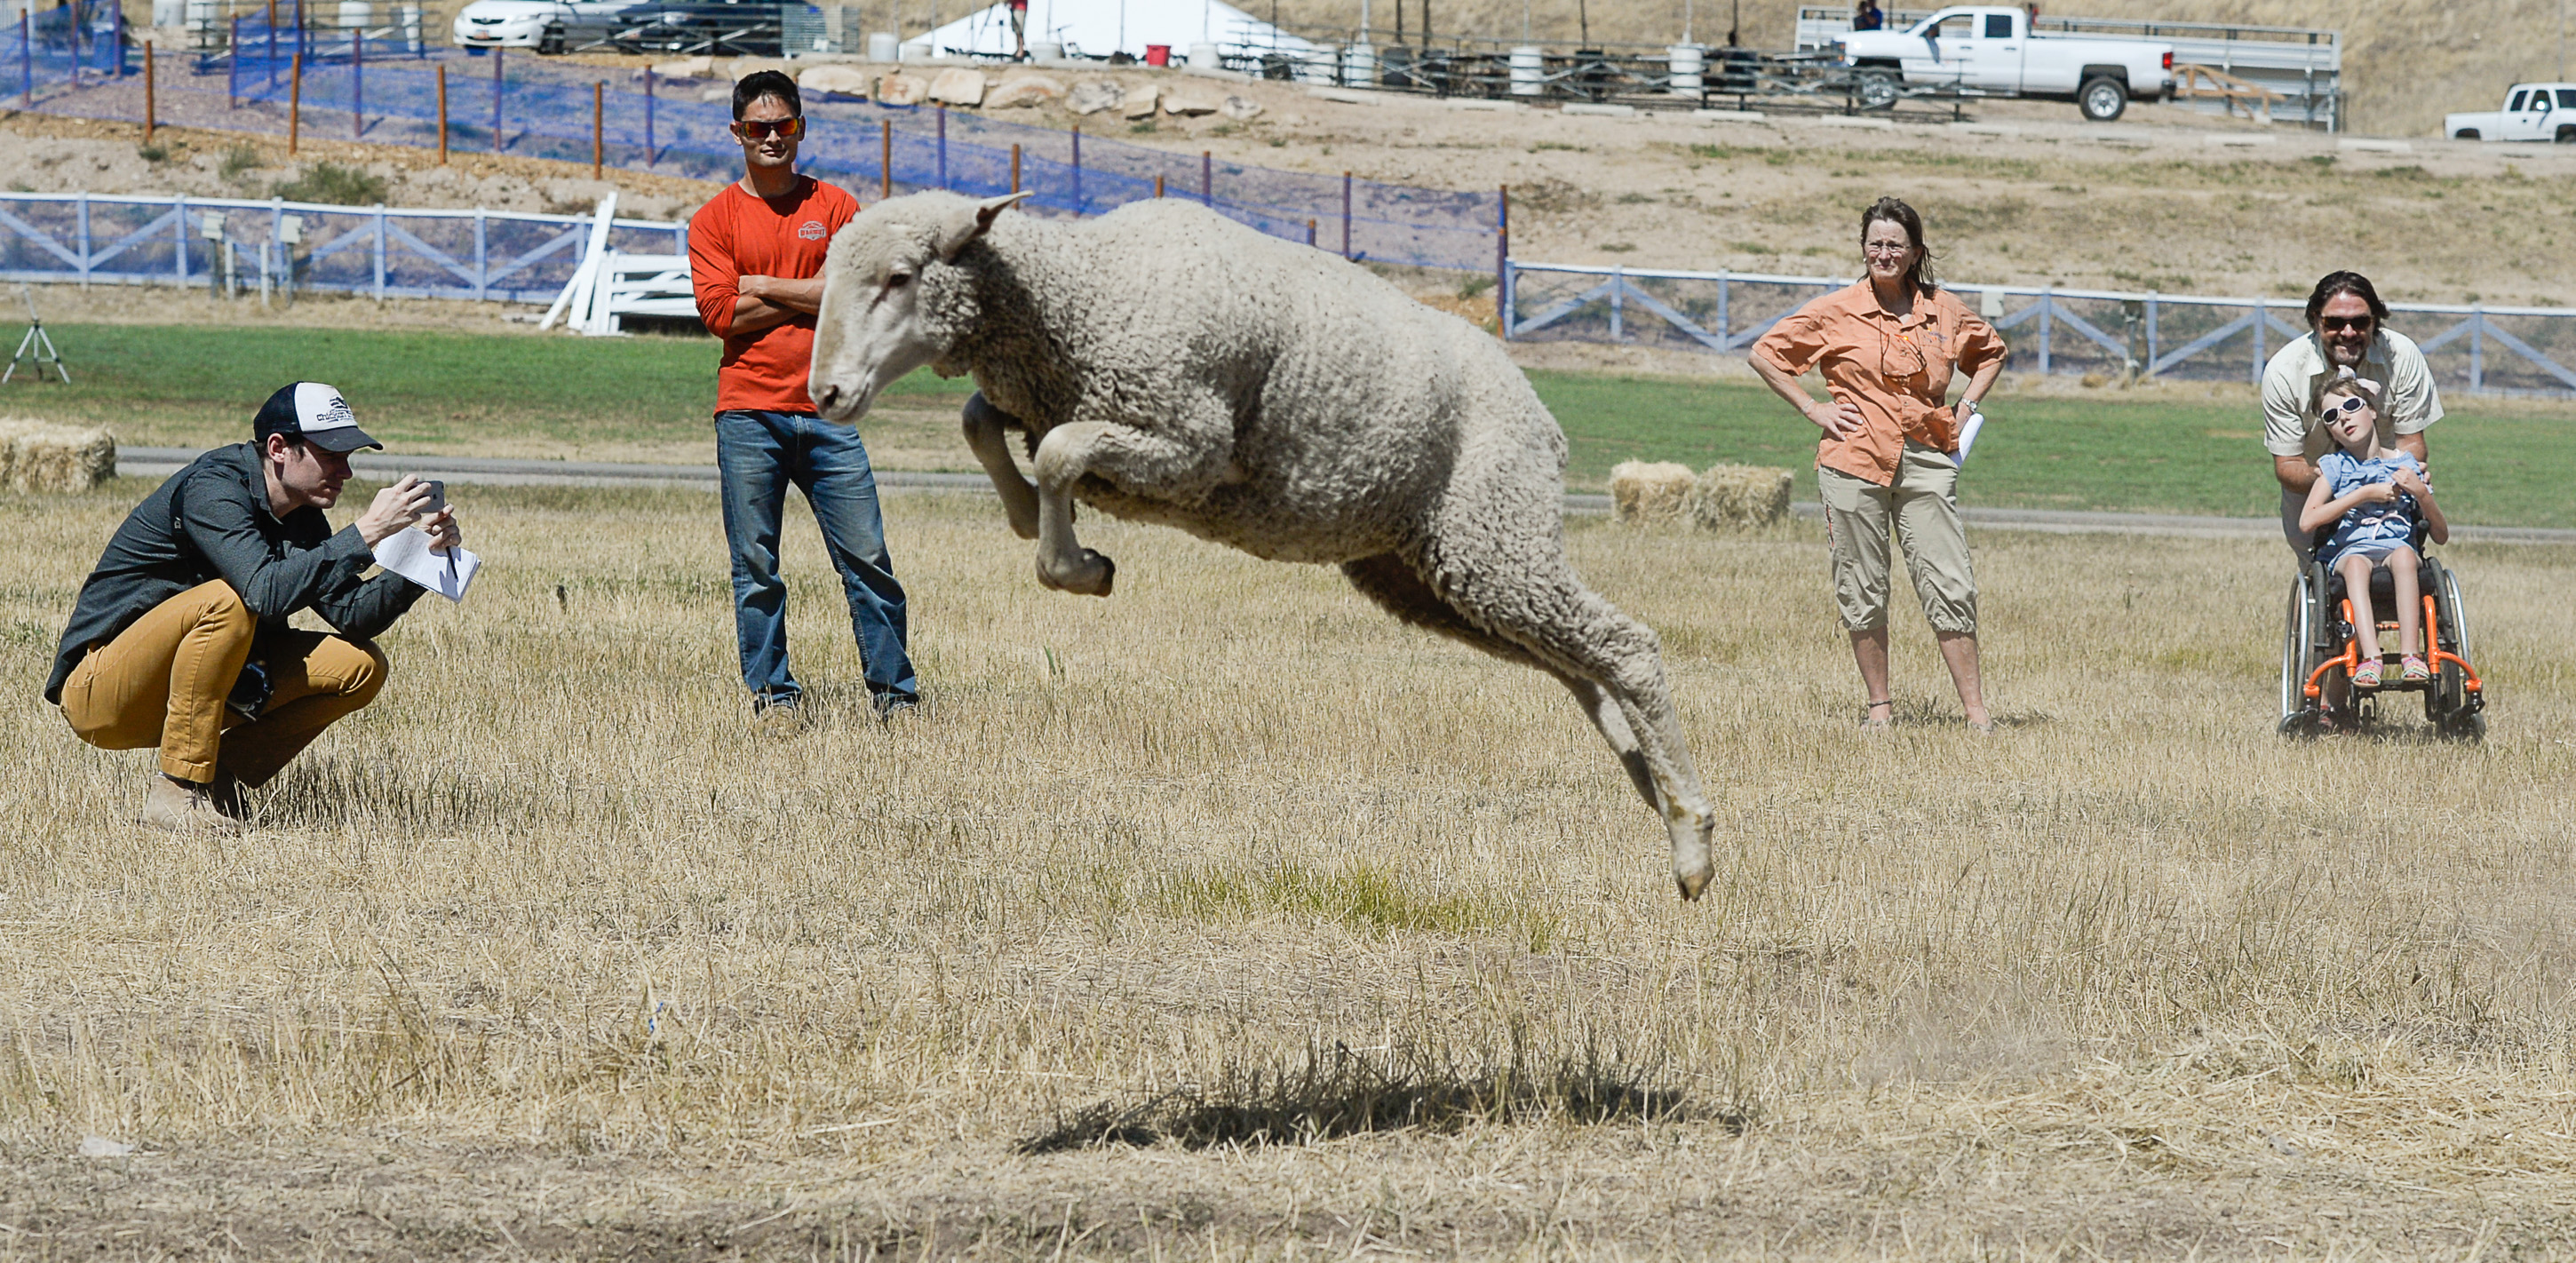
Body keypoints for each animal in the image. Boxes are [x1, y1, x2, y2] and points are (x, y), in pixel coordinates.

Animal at [807, 192, 1719, 899]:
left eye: (900, 277)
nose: (826, 393)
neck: (1078, 292)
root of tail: (1543, 417)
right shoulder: (1053, 403)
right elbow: (981, 422)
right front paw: (1032, 518)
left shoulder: (1187, 442)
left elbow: (1061, 453)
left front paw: (1079, 565)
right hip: (1432, 572)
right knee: (1579, 666)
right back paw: (1652, 786)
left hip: (1491, 536)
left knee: (1625, 647)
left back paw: (1692, 837)